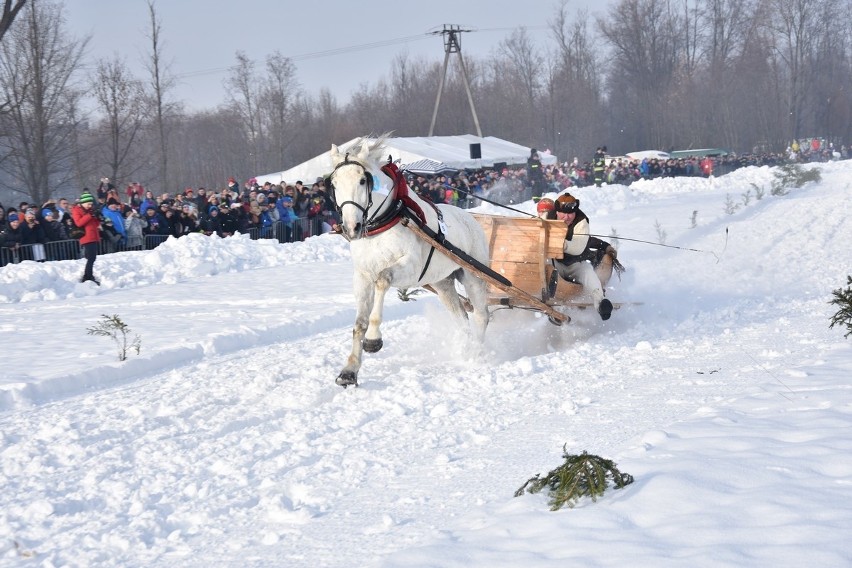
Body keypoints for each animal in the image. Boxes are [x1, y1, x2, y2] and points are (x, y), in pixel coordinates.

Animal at [330, 135, 490, 388]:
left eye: (363, 180)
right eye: (334, 183)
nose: (351, 227)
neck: (385, 221)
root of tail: (470, 218)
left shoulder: (410, 267)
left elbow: (383, 280)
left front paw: (374, 339)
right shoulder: (362, 275)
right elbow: (359, 323)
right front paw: (349, 370)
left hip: (473, 276)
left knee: (482, 315)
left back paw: (476, 353)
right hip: (443, 282)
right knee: (461, 318)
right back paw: (465, 350)